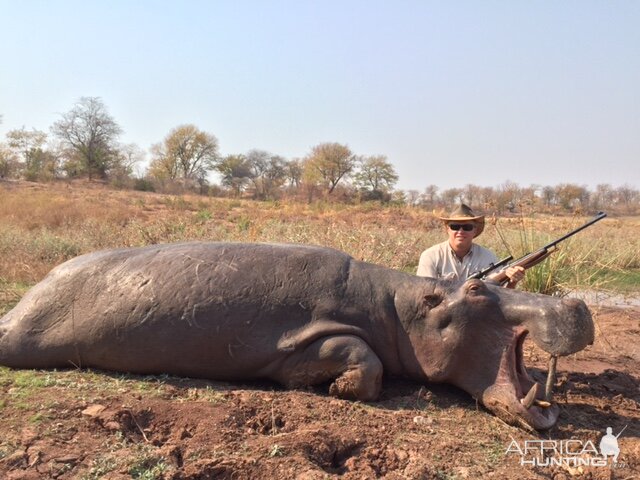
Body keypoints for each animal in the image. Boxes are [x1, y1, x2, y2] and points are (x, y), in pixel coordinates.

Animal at [0, 242, 596, 430]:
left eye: (494, 280)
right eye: (476, 291)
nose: (574, 301)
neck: (401, 307)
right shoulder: (316, 331)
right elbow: (364, 358)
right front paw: (329, 388)